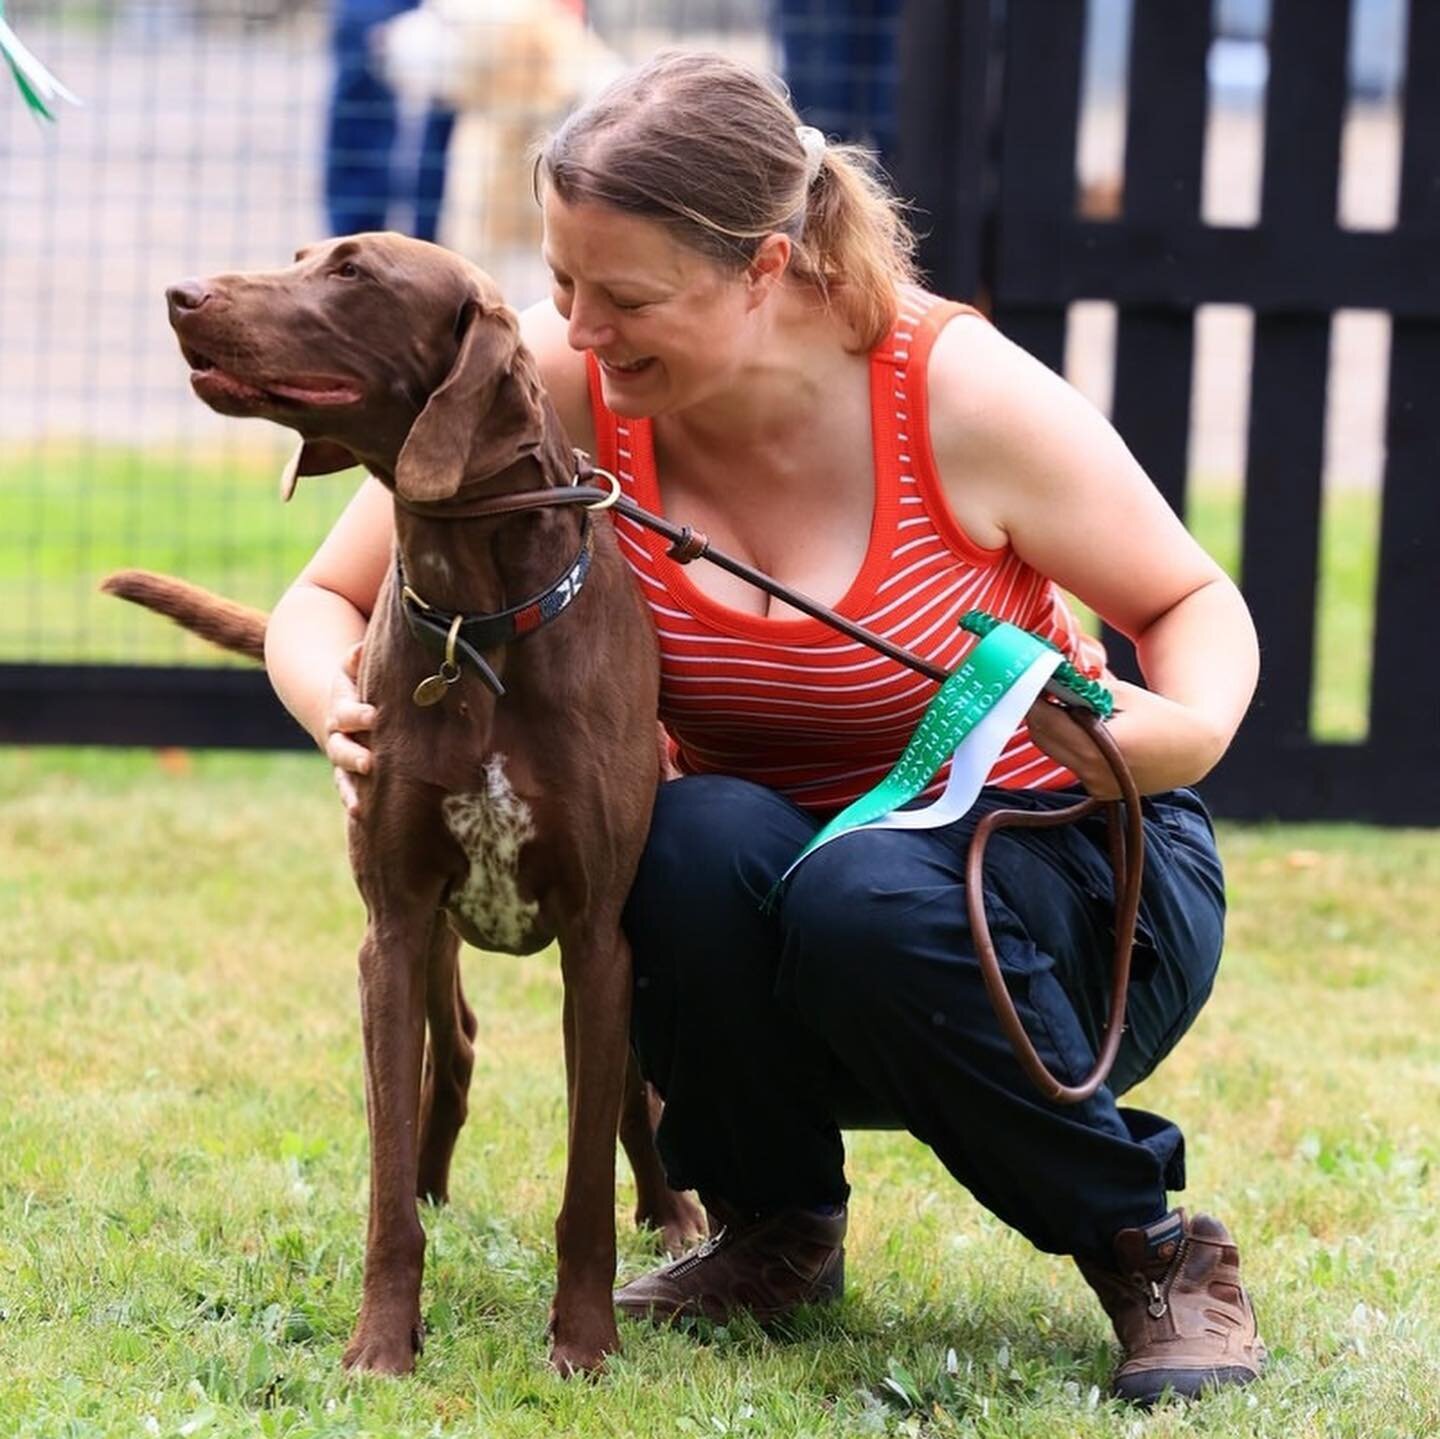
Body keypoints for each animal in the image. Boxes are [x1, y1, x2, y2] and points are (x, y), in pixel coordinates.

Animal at [105, 230, 702, 1377]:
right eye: (304, 257)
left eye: (352, 274)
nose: (179, 294)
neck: (481, 617)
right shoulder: (389, 925)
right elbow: (383, 1179)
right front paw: (382, 1344)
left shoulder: (598, 940)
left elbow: (586, 1181)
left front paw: (585, 1343)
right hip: (430, 938)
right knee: (454, 1049)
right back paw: (434, 1182)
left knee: (632, 1105)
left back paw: (677, 1214)